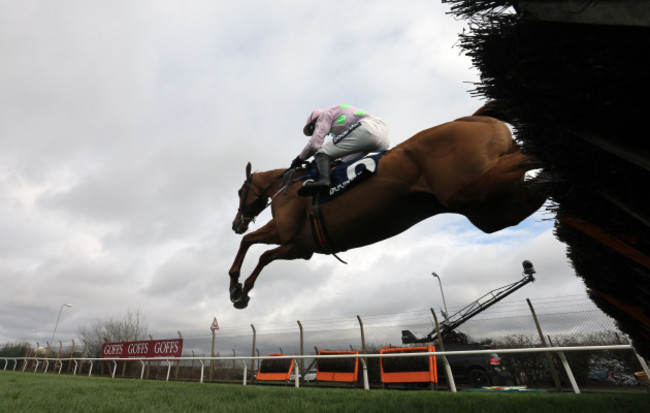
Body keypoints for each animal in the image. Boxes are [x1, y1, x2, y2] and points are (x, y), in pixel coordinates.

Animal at [228, 111, 540, 308]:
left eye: (241, 192)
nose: (236, 224)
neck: (288, 187)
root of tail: (475, 118)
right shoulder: (300, 248)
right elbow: (262, 254)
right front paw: (241, 290)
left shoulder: (287, 234)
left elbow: (254, 249)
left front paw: (237, 289)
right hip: (489, 209)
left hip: (474, 189)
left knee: (529, 158)